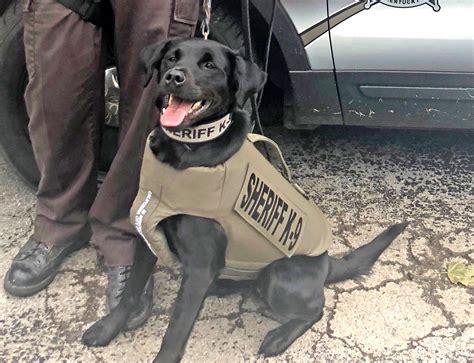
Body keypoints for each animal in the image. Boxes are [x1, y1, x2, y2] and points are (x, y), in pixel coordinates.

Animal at [82, 38, 408, 362]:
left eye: (209, 65)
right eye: (171, 58)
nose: (173, 77)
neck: (187, 147)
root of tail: (326, 263)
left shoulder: (199, 269)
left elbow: (175, 333)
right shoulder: (148, 231)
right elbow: (131, 291)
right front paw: (107, 328)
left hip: (277, 276)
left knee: (316, 309)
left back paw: (278, 337)